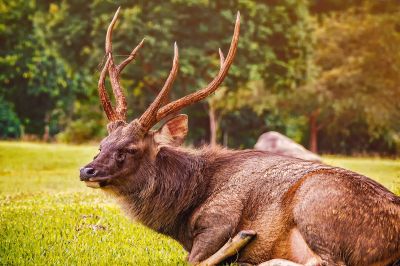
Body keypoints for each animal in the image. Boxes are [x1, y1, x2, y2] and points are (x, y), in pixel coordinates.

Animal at [79, 8, 398, 266]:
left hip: (317, 202)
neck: (183, 210)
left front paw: (240, 243)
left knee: (324, 262)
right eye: (102, 145)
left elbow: (192, 260)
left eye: (130, 148)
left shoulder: (221, 217)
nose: (86, 170)